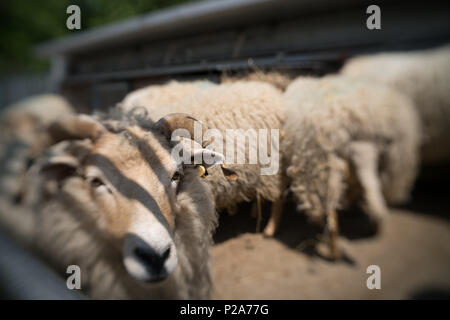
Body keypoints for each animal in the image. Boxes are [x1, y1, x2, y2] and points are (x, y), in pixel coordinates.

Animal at [282, 75, 422, 260]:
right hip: (392, 161)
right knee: (374, 193)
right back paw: (375, 222)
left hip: (323, 168)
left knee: (330, 215)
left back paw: (334, 251)